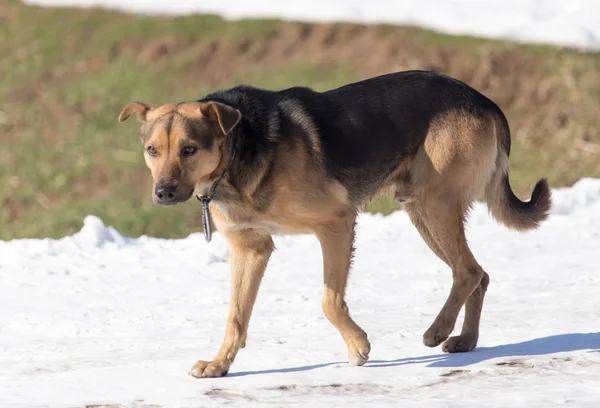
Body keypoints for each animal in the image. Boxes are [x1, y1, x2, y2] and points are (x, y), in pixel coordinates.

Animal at [118, 69, 552, 376]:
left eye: (189, 150)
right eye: (152, 150)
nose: (163, 193)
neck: (237, 154)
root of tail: (483, 99)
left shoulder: (336, 224)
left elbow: (329, 300)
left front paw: (358, 347)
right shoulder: (251, 249)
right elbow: (236, 317)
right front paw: (219, 365)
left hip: (434, 205)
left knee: (466, 271)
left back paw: (439, 331)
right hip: (420, 210)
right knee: (479, 273)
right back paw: (466, 340)